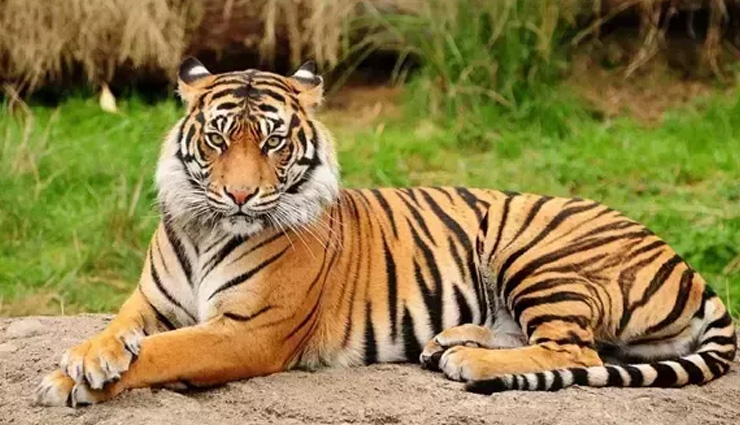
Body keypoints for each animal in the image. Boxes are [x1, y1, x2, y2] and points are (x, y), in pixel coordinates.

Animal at [34, 58, 736, 406]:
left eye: (273, 142)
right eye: (217, 138)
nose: (238, 194)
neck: (208, 229)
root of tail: (686, 264)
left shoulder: (249, 331)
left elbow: (164, 352)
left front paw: (73, 381)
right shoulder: (149, 302)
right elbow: (119, 332)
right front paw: (84, 360)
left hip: (537, 252)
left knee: (578, 351)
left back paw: (469, 360)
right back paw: (449, 342)